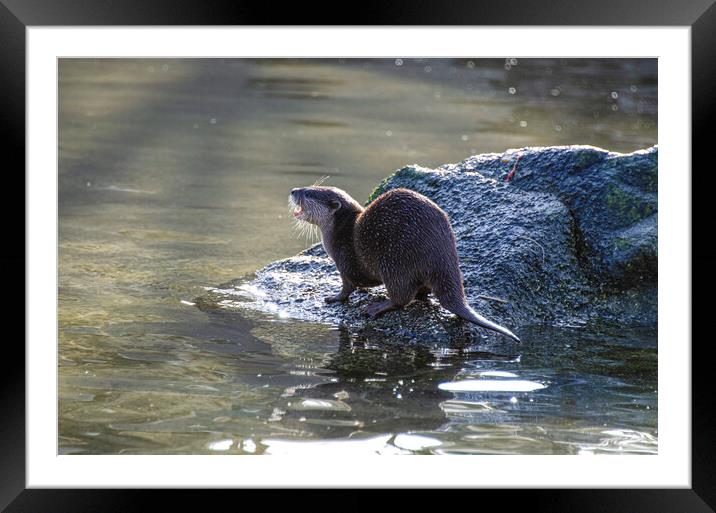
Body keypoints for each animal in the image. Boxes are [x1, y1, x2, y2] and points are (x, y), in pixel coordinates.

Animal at [290, 186, 520, 342]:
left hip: (395, 261)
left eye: (308, 193)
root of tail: (441, 255)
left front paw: (334, 297)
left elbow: (348, 286)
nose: (293, 190)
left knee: (402, 297)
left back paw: (377, 307)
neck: (340, 230)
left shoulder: (345, 261)